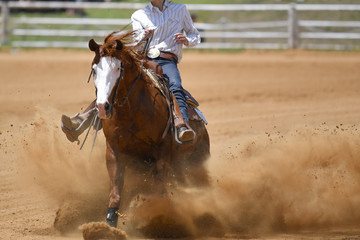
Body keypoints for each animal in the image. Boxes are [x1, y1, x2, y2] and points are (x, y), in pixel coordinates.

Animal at [88, 31, 211, 227]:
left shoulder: (163, 151)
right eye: (94, 69)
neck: (131, 112)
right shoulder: (114, 151)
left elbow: (159, 189)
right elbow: (115, 190)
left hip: (198, 161)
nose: (102, 107)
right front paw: (109, 224)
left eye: (118, 69)